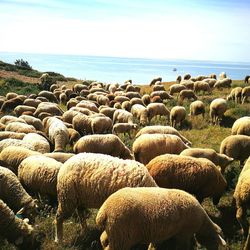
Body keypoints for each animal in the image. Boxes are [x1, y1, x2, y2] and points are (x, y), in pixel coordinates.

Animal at [96, 187, 227, 250]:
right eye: (214, 240)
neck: (202, 222)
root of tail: (104, 211)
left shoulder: (161, 232)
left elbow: (154, 244)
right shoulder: (184, 234)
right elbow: (182, 247)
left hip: (115, 232)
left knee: (102, 238)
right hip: (122, 236)